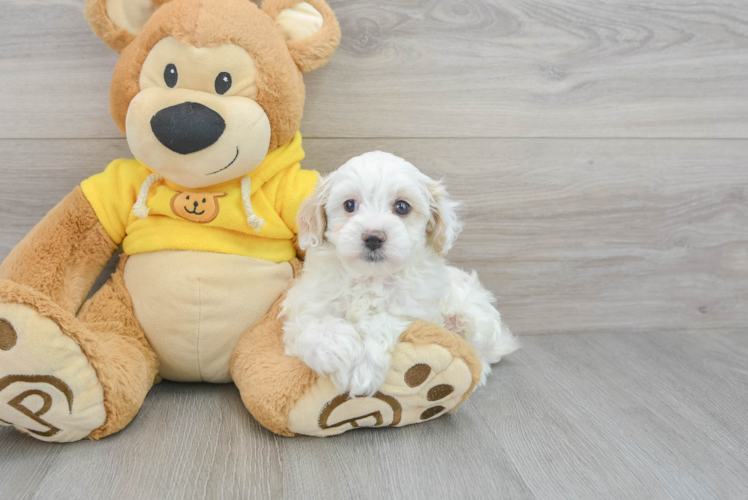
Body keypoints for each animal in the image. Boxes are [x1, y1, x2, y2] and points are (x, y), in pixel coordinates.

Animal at [280, 150, 520, 396]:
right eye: (349, 205)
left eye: (402, 207)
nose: (373, 237)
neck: (370, 276)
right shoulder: (307, 300)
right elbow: (308, 325)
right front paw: (337, 348)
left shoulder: (415, 311)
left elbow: (381, 319)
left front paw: (360, 365)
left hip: (479, 318)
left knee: (481, 351)